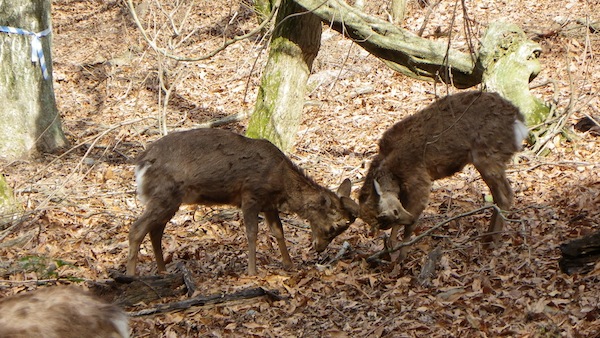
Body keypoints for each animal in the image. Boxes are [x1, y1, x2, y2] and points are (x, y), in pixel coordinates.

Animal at [126, 128, 358, 276]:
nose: (319, 248)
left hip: (170, 199)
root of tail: (140, 163)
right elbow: (252, 233)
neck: (281, 180)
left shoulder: (269, 204)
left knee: (155, 231)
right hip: (165, 193)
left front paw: (289, 264)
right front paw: (252, 271)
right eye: (333, 227)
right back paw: (131, 275)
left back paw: (163, 271)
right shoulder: (250, 195)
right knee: (137, 228)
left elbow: (278, 232)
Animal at [358, 91, 528, 262]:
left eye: (391, 213)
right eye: (378, 223)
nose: (380, 228)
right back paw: (487, 238)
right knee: (498, 197)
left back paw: (492, 241)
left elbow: (409, 225)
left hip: (487, 155)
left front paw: (400, 258)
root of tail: (519, 122)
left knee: (506, 195)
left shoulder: (419, 180)